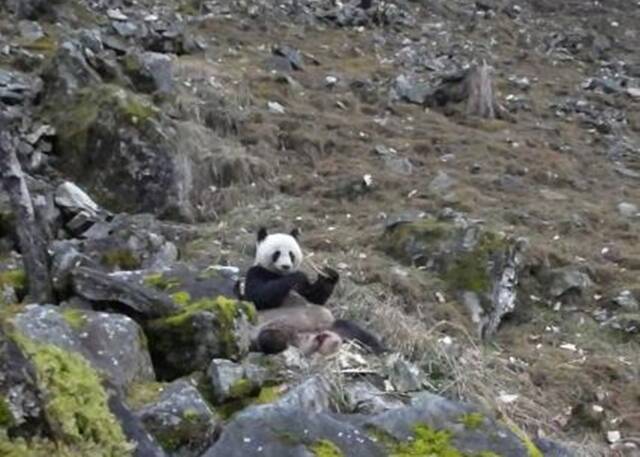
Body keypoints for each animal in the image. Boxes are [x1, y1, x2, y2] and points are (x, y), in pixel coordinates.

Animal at [241, 226, 384, 354]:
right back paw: (280, 339)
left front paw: (328, 275)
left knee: (354, 330)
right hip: (266, 328)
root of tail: (311, 334)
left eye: (291, 254)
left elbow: (315, 298)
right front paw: (298, 275)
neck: (280, 274)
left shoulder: (303, 289)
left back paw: (380, 348)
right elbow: (259, 297)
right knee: (268, 338)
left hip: (332, 325)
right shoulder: (256, 272)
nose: (286, 266)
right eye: (277, 253)